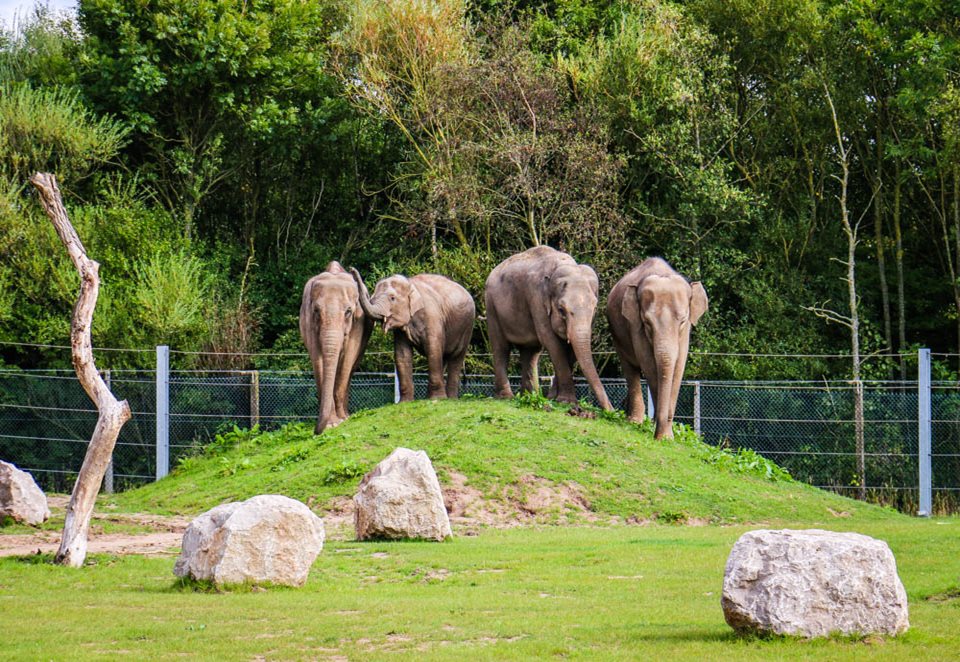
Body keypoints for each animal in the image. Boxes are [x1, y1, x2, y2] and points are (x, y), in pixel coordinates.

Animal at [298, 260, 374, 436]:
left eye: (348, 311)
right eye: (316, 311)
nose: (315, 430)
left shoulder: (359, 320)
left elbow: (349, 356)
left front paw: (342, 420)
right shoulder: (308, 320)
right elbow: (317, 358)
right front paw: (331, 424)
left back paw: (345, 414)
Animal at [350, 268, 474, 400]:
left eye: (392, 298)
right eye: (372, 298)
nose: (352, 270)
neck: (410, 284)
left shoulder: (432, 317)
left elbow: (433, 349)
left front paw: (437, 399)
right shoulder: (401, 330)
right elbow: (402, 354)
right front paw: (405, 402)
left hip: (467, 328)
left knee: (456, 357)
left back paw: (450, 399)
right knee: (444, 357)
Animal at [484, 244, 612, 410]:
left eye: (595, 308)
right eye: (561, 310)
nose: (611, 410)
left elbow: (571, 349)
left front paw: (554, 399)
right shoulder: (536, 299)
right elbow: (551, 342)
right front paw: (566, 401)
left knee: (531, 352)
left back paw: (530, 397)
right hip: (492, 307)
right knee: (501, 347)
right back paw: (506, 397)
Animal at [608, 260, 704, 440]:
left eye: (682, 321)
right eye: (647, 322)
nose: (659, 435)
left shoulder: (685, 334)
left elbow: (679, 367)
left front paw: (667, 436)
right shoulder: (635, 325)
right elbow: (650, 365)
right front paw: (663, 436)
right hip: (618, 337)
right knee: (630, 369)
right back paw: (635, 421)